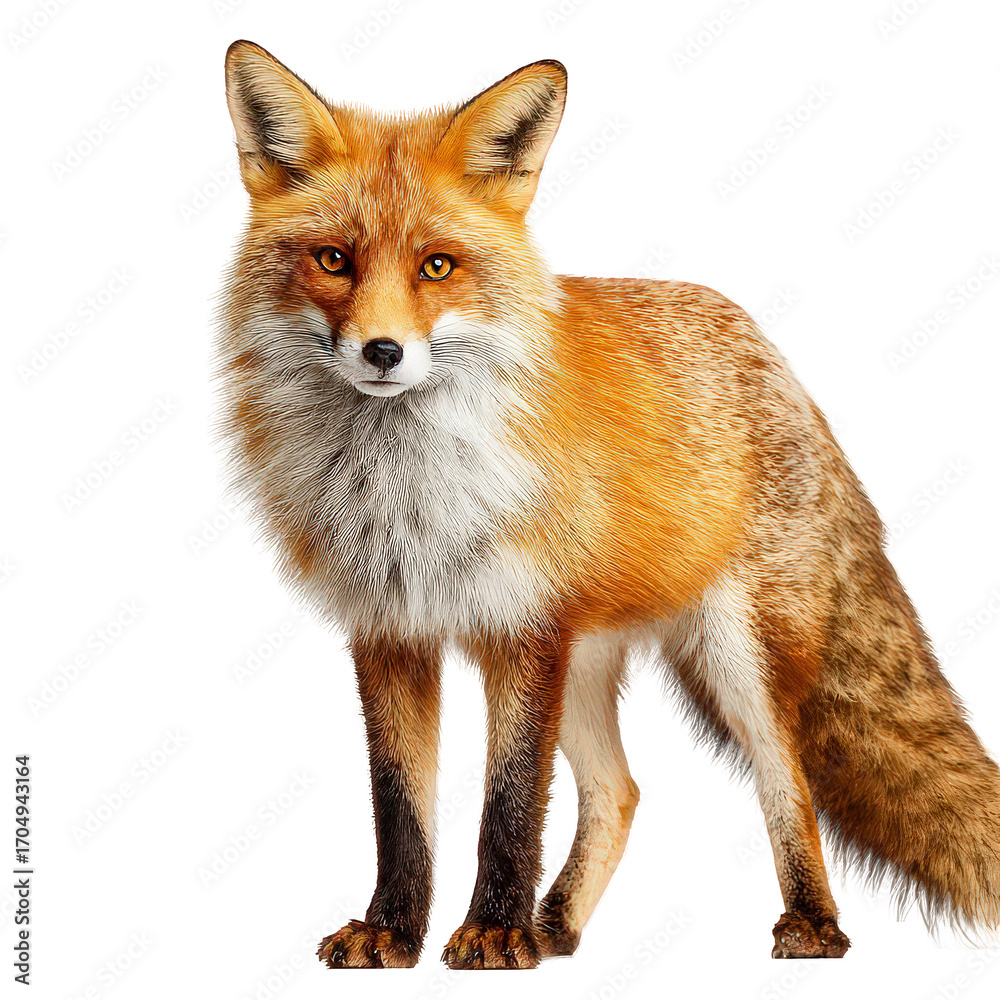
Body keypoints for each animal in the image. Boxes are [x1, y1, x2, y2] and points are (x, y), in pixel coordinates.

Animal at [218, 40, 1000, 968]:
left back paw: (812, 927)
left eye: (437, 266)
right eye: (333, 259)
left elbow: (509, 803)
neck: (406, 491)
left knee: (790, 778)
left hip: (737, 653)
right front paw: (395, 931)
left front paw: (493, 931)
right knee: (619, 791)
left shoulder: (522, 629)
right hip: (587, 662)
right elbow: (399, 806)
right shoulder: (391, 631)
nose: (382, 351)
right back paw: (556, 923)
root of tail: (767, 350)